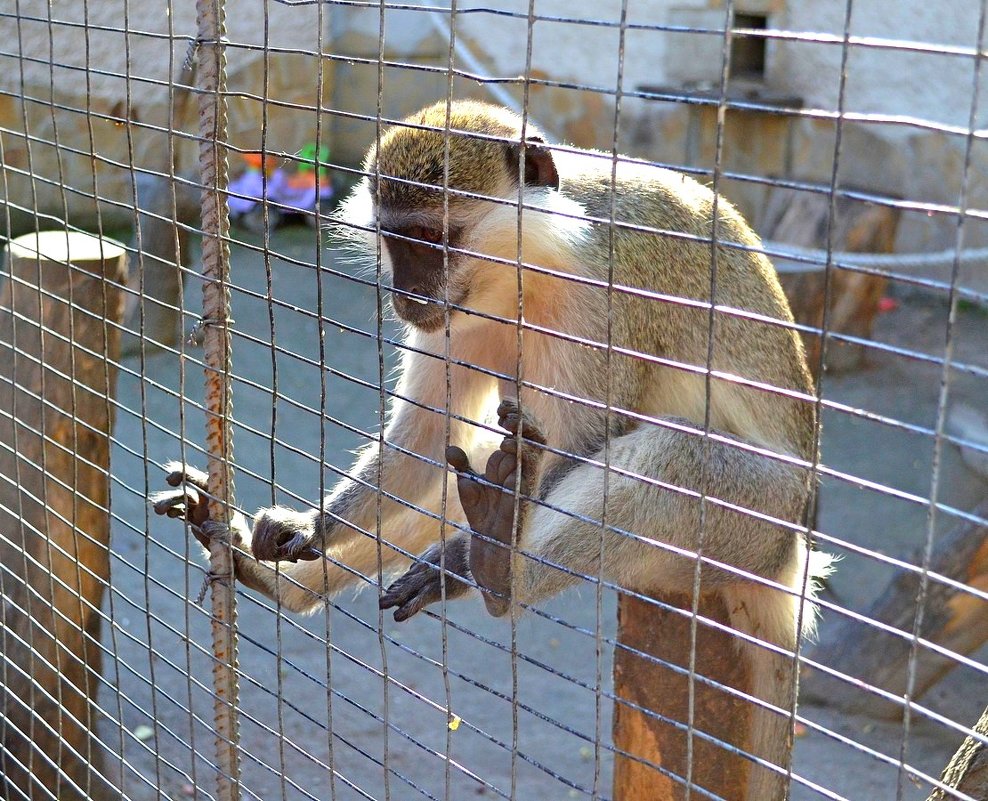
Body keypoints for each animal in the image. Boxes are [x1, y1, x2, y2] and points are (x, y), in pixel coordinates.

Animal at [156, 98, 832, 792]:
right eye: (396, 239)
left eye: (433, 239)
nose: (404, 294)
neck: (524, 267)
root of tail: (789, 566)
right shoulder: (458, 319)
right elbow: (427, 438)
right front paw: (306, 529)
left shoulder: (609, 296)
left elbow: (581, 441)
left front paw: (469, 556)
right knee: (466, 475)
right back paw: (270, 575)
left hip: (753, 524)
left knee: (673, 459)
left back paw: (496, 565)